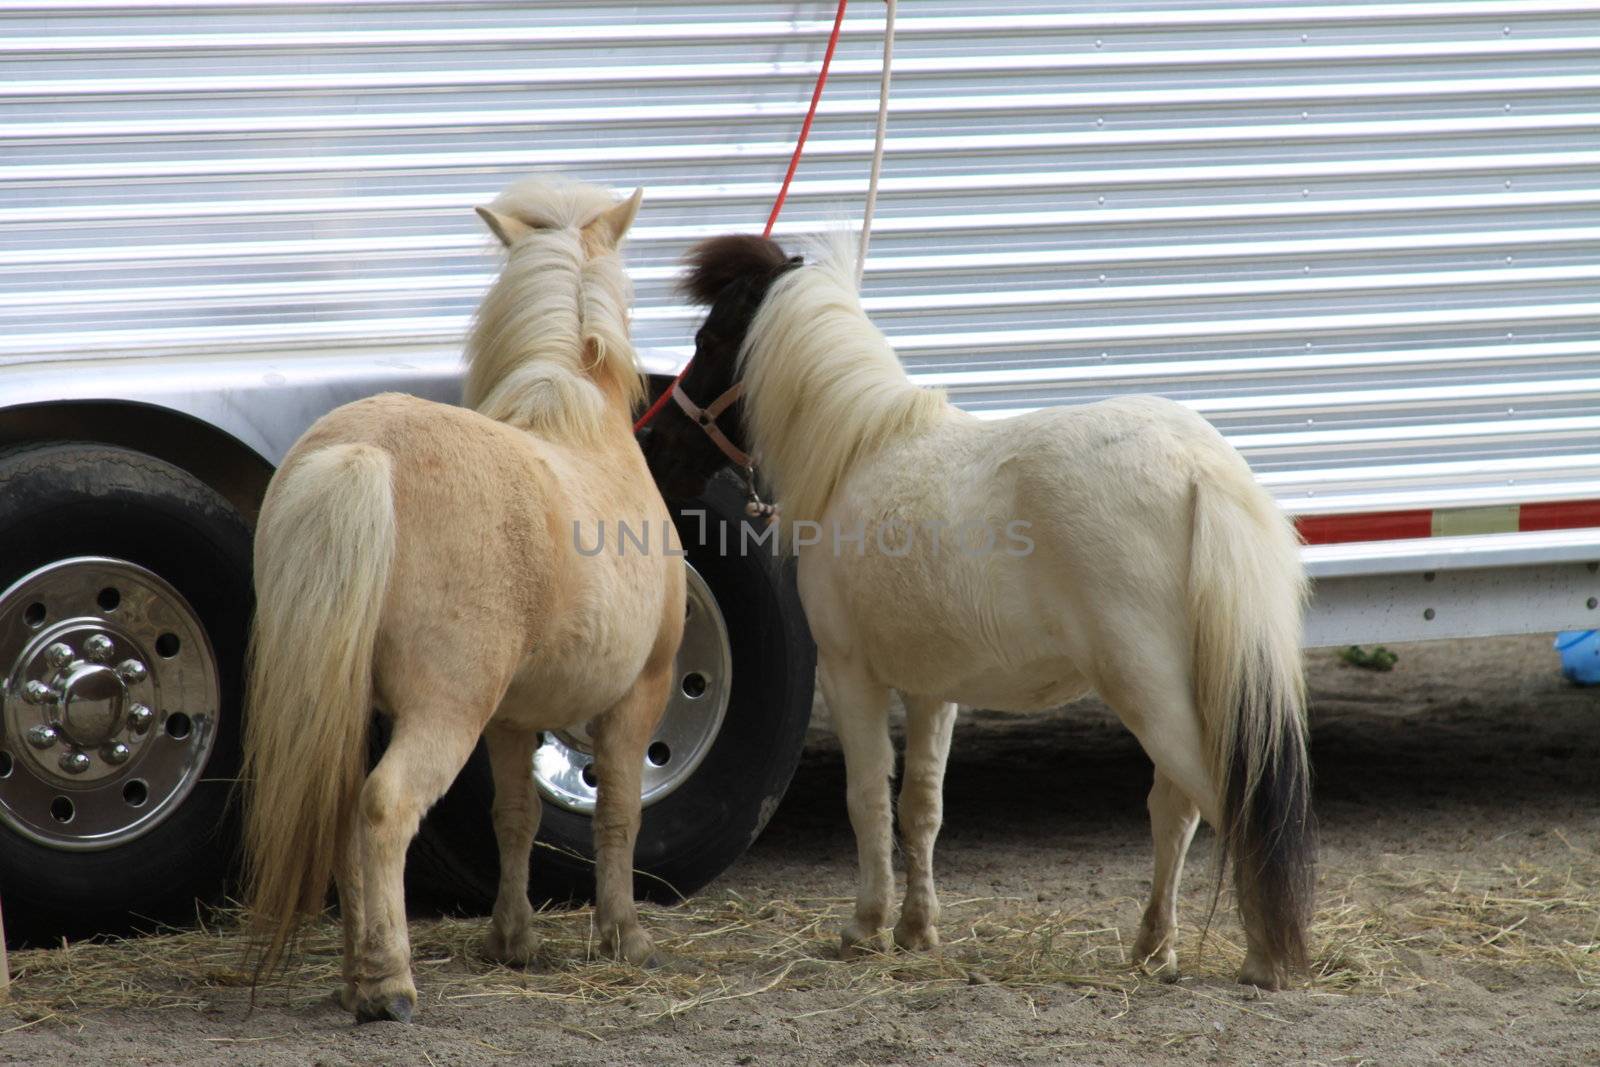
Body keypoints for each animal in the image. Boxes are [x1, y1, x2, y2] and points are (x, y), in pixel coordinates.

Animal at [241, 179, 681, 1023]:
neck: (583, 425)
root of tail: (363, 454)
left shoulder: (510, 718)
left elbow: (516, 816)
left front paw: (513, 939)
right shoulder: (640, 693)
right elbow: (620, 810)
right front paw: (626, 935)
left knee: (344, 814)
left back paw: (358, 972)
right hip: (447, 710)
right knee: (384, 808)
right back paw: (388, 985)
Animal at [643, 233, 1318, 991]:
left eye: (709, 339)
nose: (653, 445)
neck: (859, 449)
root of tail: (1199, 468)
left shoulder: (849, 674)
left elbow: (866, 798)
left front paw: (866, 927)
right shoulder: (933, 689)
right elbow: (921, 807)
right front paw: (916, 929)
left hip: (1151, 692)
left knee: (1226, 802)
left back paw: (1262, 958)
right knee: (1175, 811)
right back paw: (1153, 947)